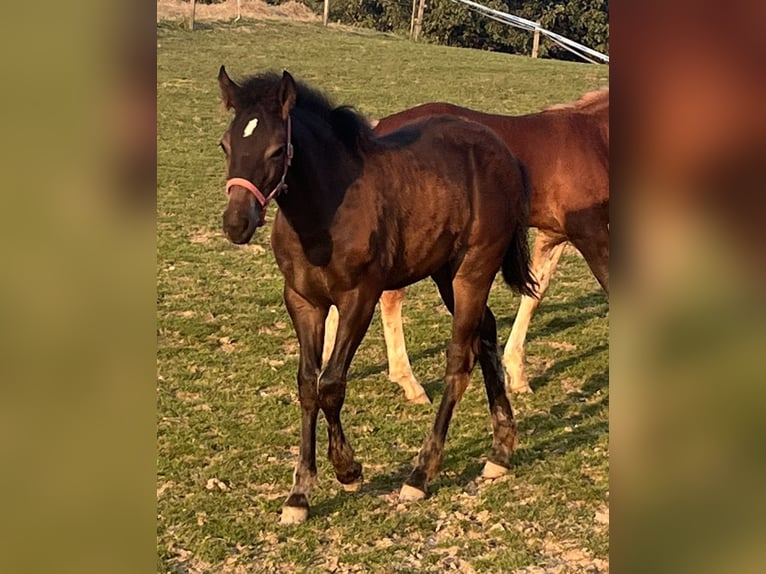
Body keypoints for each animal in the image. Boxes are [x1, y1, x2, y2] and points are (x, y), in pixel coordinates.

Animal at [219, 67, 536, 528]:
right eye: (225, 144)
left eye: (278, 149)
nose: (236, 223)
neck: (324, 215)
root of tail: (505, 154)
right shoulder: (303, 302)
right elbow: (307, 385)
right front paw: (299, 495)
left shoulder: (359, 299)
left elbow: (332, 384)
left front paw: (348, 470)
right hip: (446, 273)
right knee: (487, 331)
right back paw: (500, 450)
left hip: (473, 271)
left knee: (460, 359)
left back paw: (421, 474)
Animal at [320, 92, 608, 402]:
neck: (594, 138)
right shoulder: (589, 231)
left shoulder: (553, 235)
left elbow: (534, 294)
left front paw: (517, 375)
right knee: (391, 298)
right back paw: (409, 383)